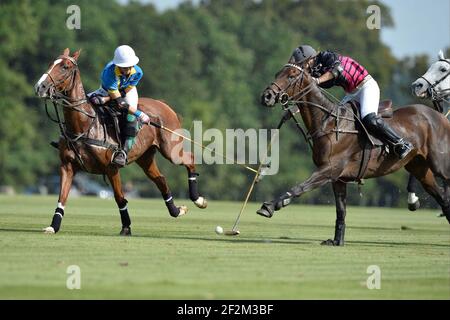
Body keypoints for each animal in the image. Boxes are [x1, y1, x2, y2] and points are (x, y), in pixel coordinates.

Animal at [34, 48, 207, 235]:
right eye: (51, 63)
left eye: (65, 67)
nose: (40, 87)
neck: (83, 125)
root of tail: (164, 105)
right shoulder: (67, 166)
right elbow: (62, 197)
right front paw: (53, 226)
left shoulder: (112, 168)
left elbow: (120, 198)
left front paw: (126, 227)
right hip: (145, 157)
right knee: (160, 179)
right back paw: (176, 210)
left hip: (170, 150)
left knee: (189, 160)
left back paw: (198, 200)